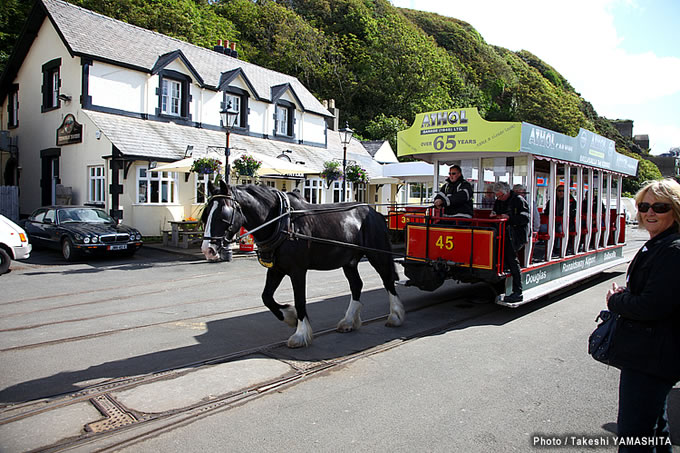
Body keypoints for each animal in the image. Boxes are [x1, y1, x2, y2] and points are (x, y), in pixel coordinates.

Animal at [201, 179, 404, 346]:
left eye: (223, 215)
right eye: (205, 215)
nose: (207, 250)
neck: (281, 222)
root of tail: (375, 213)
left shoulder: (297, 270)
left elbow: (300, 300)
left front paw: (300, 334)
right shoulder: (276, 268)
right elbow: (266, 297)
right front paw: (289, 316)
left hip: (377, 255)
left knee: (387, 280)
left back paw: (395, 316)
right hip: (350, 261)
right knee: (356, 285)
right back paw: (348, 321)